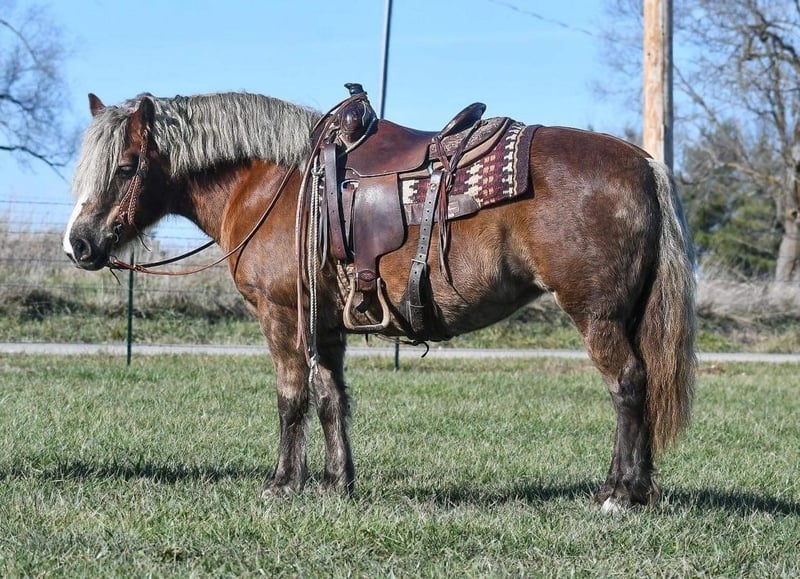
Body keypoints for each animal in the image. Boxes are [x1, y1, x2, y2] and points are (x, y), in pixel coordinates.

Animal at [62, 88, 692, 510]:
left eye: (125, 166)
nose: (78, 243)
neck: (271, 186)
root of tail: (643, 163)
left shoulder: (283, 317)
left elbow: (291, 397)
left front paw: (282, 483)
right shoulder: (323, 324)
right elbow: (331, 398)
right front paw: (337, 482)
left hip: (597, 316)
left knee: (627, 386)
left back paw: (616, 494)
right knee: (643, 386)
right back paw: (641, 489)